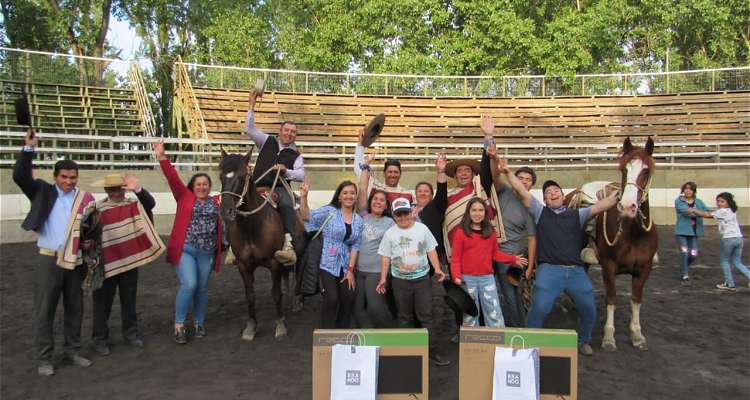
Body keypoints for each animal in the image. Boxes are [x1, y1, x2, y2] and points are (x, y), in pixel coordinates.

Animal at [217, 150, 302, 340]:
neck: (252, 227)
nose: (226, 211)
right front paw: (250, 327)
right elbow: (250, 296)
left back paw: (295, 302)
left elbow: (275, 294)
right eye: (221, 177)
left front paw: (280, 326)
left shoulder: (274, 261)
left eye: (241, 178)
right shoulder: (242, 264)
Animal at [568, 138, 656, 350]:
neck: (633, 233)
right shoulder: (609, 265)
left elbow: (636, 299)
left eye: (646, 171)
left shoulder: (645, 267)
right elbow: (612, 298)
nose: (627, 207)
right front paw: (609, 337)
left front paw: (637, 335)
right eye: (624, 169)